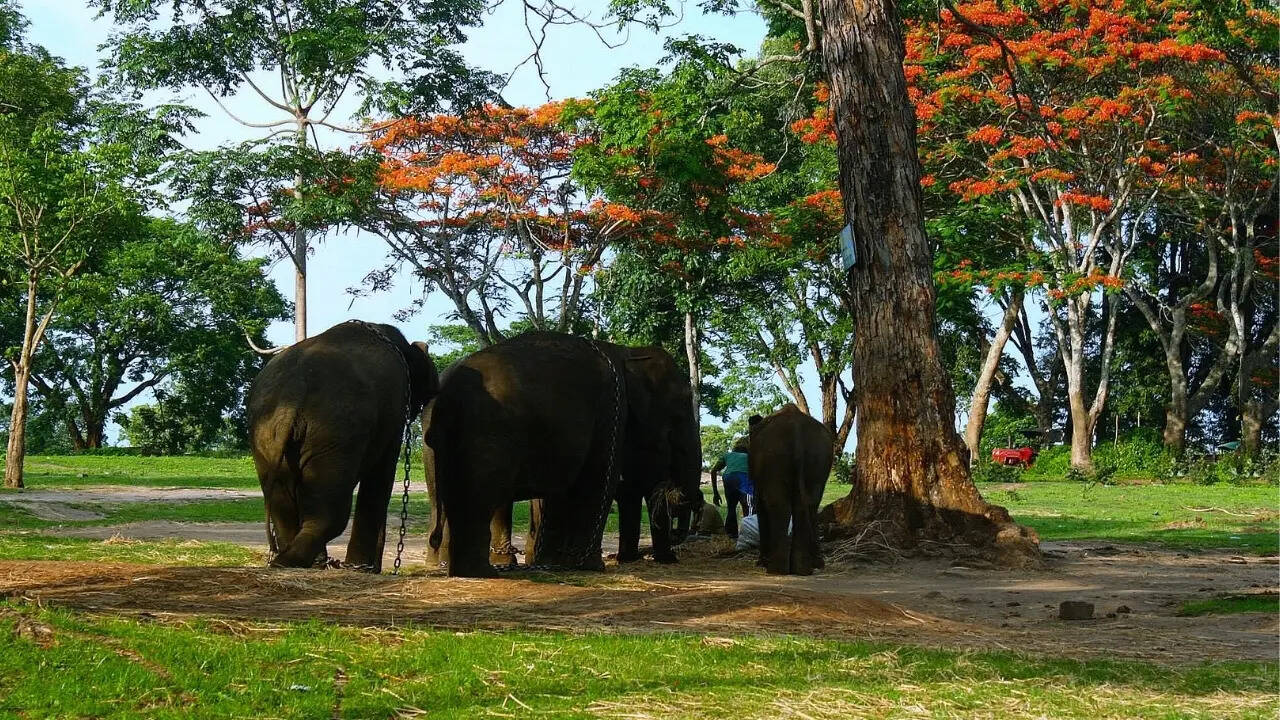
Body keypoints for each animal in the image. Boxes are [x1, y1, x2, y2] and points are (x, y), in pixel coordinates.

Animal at [248, 320, 437, 572]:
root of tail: (292, 394)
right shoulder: (395, 408)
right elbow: (382, 471)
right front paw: (363, 568)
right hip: (335, 434)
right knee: (330, 513)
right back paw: (296, 562)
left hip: (265, 434)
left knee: (284, 505)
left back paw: (295, 562)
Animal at [424, 331, 702, 578]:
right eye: (680, 410)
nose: (674, 491)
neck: (626, 352)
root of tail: (446, 390)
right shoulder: (610, 410)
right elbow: (599, 479)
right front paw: (589, 566)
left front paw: (554, 563)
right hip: (488, 433)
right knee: (481, 496)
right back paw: (481, 572)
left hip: (433, 442)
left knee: (441, 498)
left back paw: (449, 565)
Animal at [748, 404, 834, 575]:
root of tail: (796, 431)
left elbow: (760, 504)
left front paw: (760, 562)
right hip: (817, 458)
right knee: (809, 504)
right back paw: (803, 568)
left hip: (773, 458)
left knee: (779, 505)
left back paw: (775, 569)